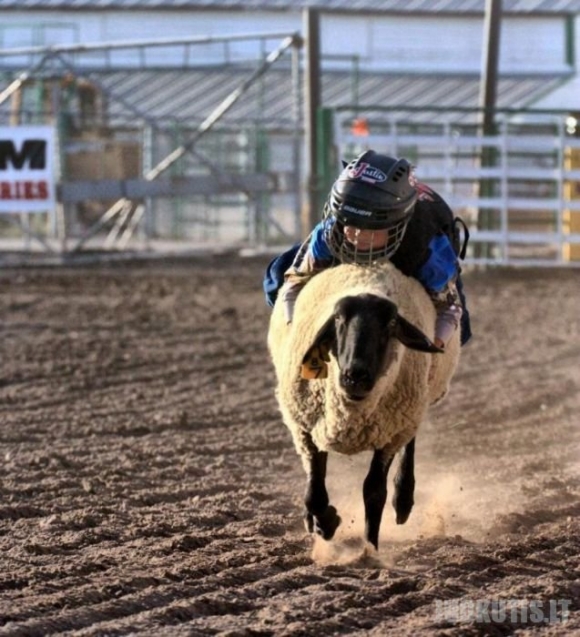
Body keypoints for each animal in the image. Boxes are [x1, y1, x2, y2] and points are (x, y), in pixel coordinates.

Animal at [268, 260, 462, 548]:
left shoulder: (389, 434)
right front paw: (326, 522)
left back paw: (403, 500)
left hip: (412, 407)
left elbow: (374, 492)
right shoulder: (305, 426)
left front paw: (369, 548)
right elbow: (314, 490)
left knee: (410, 443)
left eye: (391, 323)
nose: (355, 376)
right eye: (338, 318)